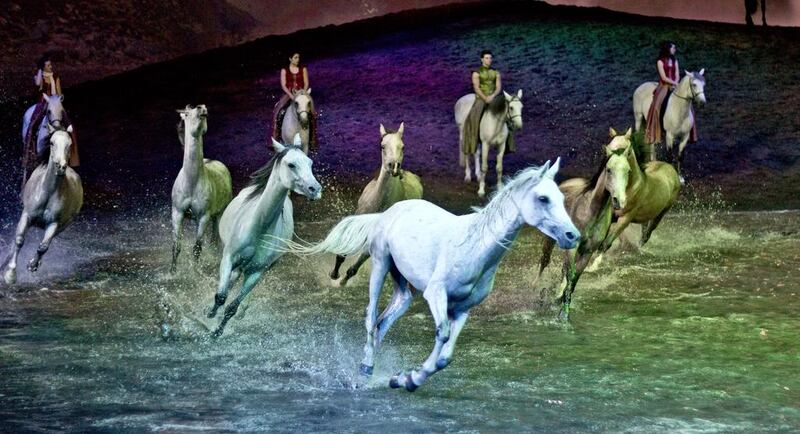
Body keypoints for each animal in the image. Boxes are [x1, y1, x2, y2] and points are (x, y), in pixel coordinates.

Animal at [3, 125, 83, 284]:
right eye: (52, 143)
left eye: (69, 144)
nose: (61, 167)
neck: (48, 193)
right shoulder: (27, 215)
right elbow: (19, 240)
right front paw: (10, 275)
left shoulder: (54, 223)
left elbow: (43, 247)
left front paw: (32, 265)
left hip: (63, 225)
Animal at [169, 104, 231, 272]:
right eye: (187, 114)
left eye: (205, 112)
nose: (201, 108)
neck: (191, 182)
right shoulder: (177, 213)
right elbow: (176, 246)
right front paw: (172, 272)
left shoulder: (204, 216)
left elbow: (197, 248)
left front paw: (195, 272)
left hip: (219, 214)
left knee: (215, 240)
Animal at [208, 134, 324, 338]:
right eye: (291, 164)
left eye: (310, 163)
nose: (315, 189)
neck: (258, 227)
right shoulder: (228, 257)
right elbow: (221, 296)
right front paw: (210, 315)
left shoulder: (257, 271)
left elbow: (232, 307)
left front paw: (217, 332)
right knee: (231, 281)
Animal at [290, 159, 580, 390]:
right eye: (543, 198)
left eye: (562, 198)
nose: (572, 236)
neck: (473, 248)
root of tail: (388, 212)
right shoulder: (436, 294)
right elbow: (442, 334)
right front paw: (410, 378)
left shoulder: (462, 309)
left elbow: (445, 356)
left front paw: (404, 379)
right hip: (381, 264)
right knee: (371, 318)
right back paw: (366, 370)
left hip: (402, 282)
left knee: (385, 320)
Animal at [328, 122, 424, 286]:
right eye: (382, 146)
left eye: (403, 146)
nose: (394, 166)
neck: (379, 203)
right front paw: (334, 275)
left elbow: (355, 266)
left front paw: (343, 281)